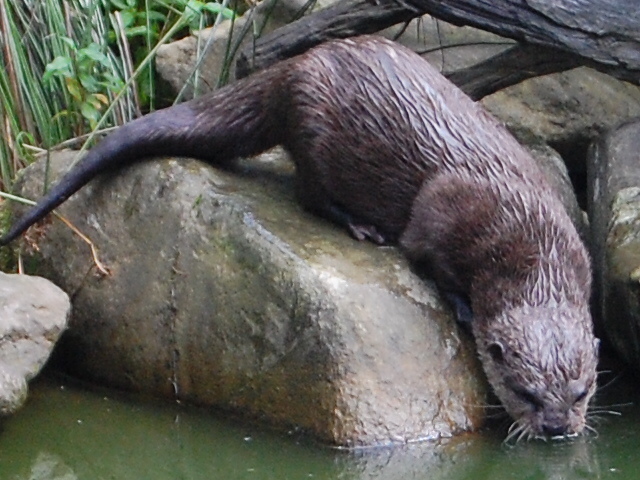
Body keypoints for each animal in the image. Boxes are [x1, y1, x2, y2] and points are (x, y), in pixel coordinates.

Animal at [1, 33, 600, 438]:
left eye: (582, 390)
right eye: (525, 391)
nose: (557, 427)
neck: (526, 238)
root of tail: (293, 67)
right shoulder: (443, 212)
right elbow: (427, 252)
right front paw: (462, 305)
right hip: (313, 128)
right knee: (309, 192)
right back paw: (360, 225)